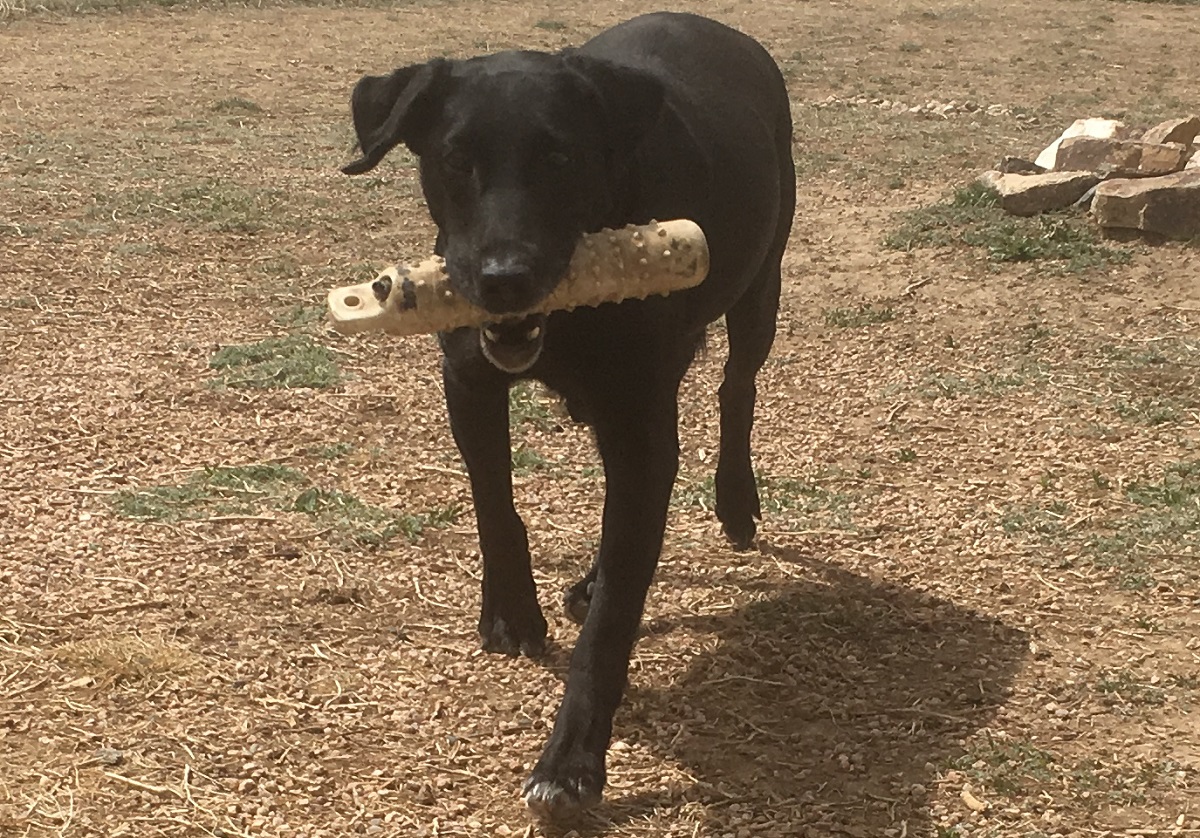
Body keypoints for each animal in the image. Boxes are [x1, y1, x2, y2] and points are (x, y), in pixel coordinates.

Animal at [343, 11, 796, 816]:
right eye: (455, 159)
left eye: (560, 157)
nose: (503, 279)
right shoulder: (469, 381)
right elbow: (497, 505)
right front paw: (511, 611)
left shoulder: (640, 426)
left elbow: (614, 619)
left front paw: (572, 760)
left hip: (760, 282)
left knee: (736, 390)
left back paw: (735, 499)